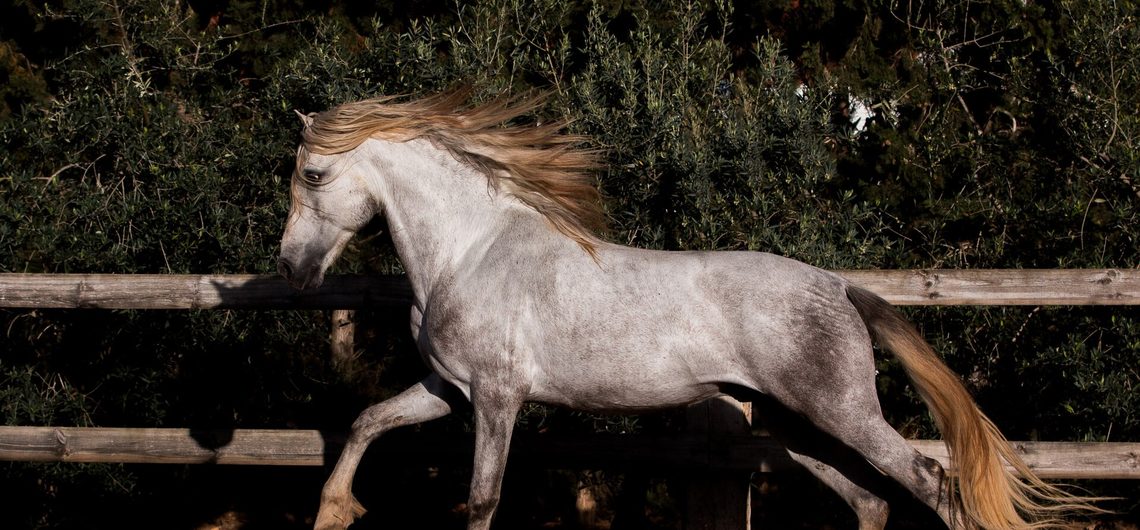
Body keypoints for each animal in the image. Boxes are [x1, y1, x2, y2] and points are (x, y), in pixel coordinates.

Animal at [276, 90, 1100, 530]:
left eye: (313, 175)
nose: (289, 269)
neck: (470, 250)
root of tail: (838, 287)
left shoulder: (499, 396)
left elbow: (481, 500)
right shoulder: (449, 390)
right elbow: (367, 422)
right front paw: (334, 511)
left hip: (841, 413)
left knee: (929, 481)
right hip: (797, 426)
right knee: (872, 500)